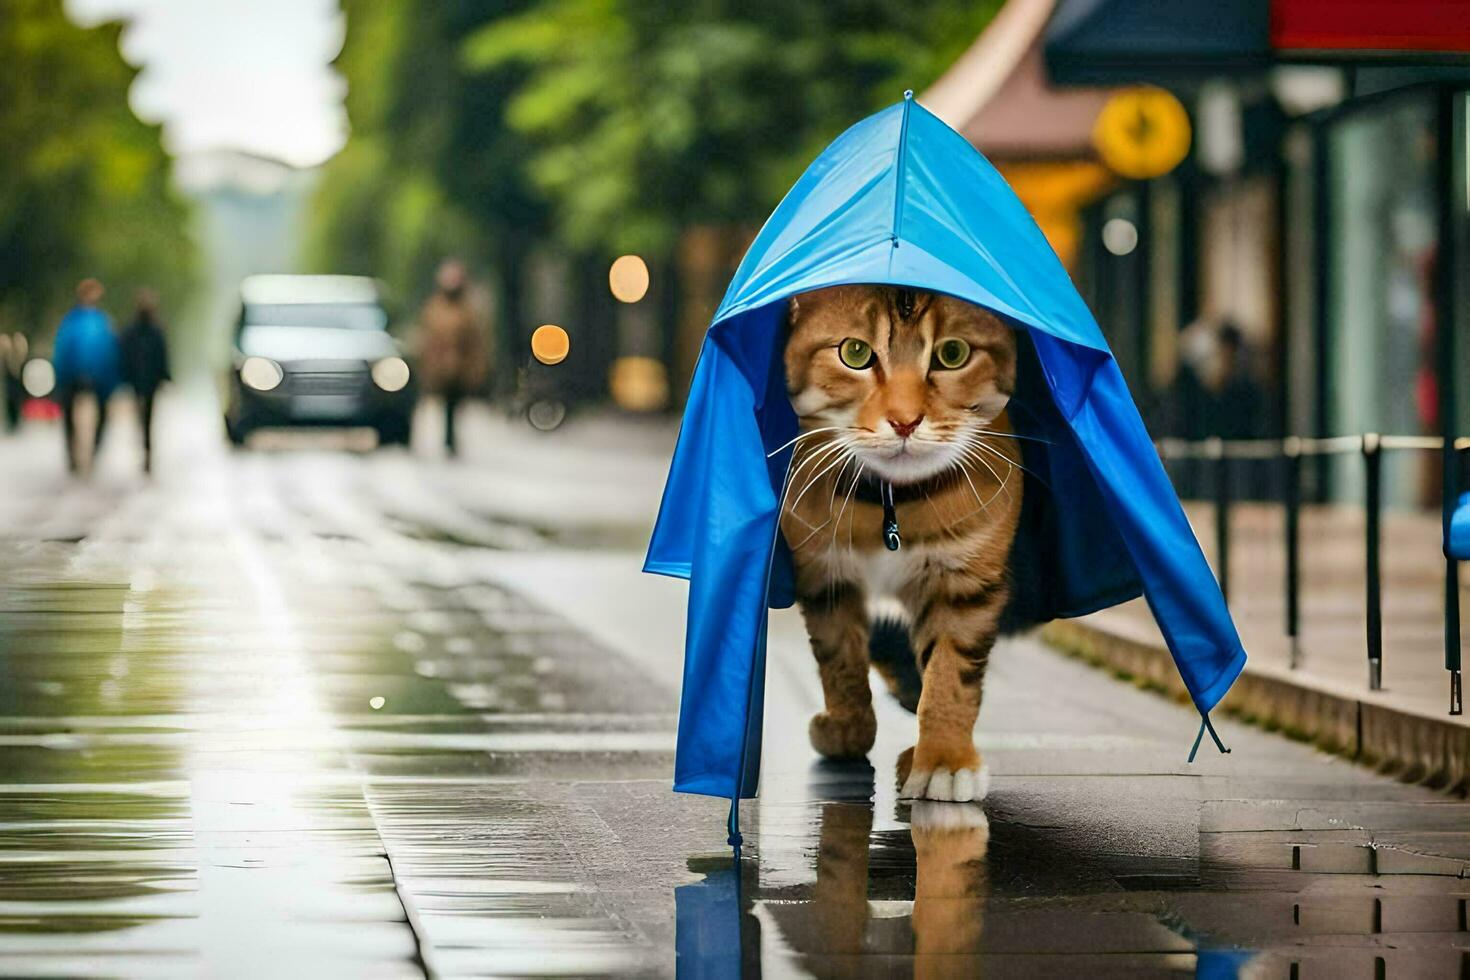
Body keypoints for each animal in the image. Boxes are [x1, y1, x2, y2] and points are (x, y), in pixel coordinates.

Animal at [782, 283, 1023, 805]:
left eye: (952, 355)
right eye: (855, 353)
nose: (906, 422)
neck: (890, 501)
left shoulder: (963, 583)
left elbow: (950, 675)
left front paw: (945, 759)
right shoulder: (824, 574)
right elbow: (841, 661)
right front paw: (848, 727)